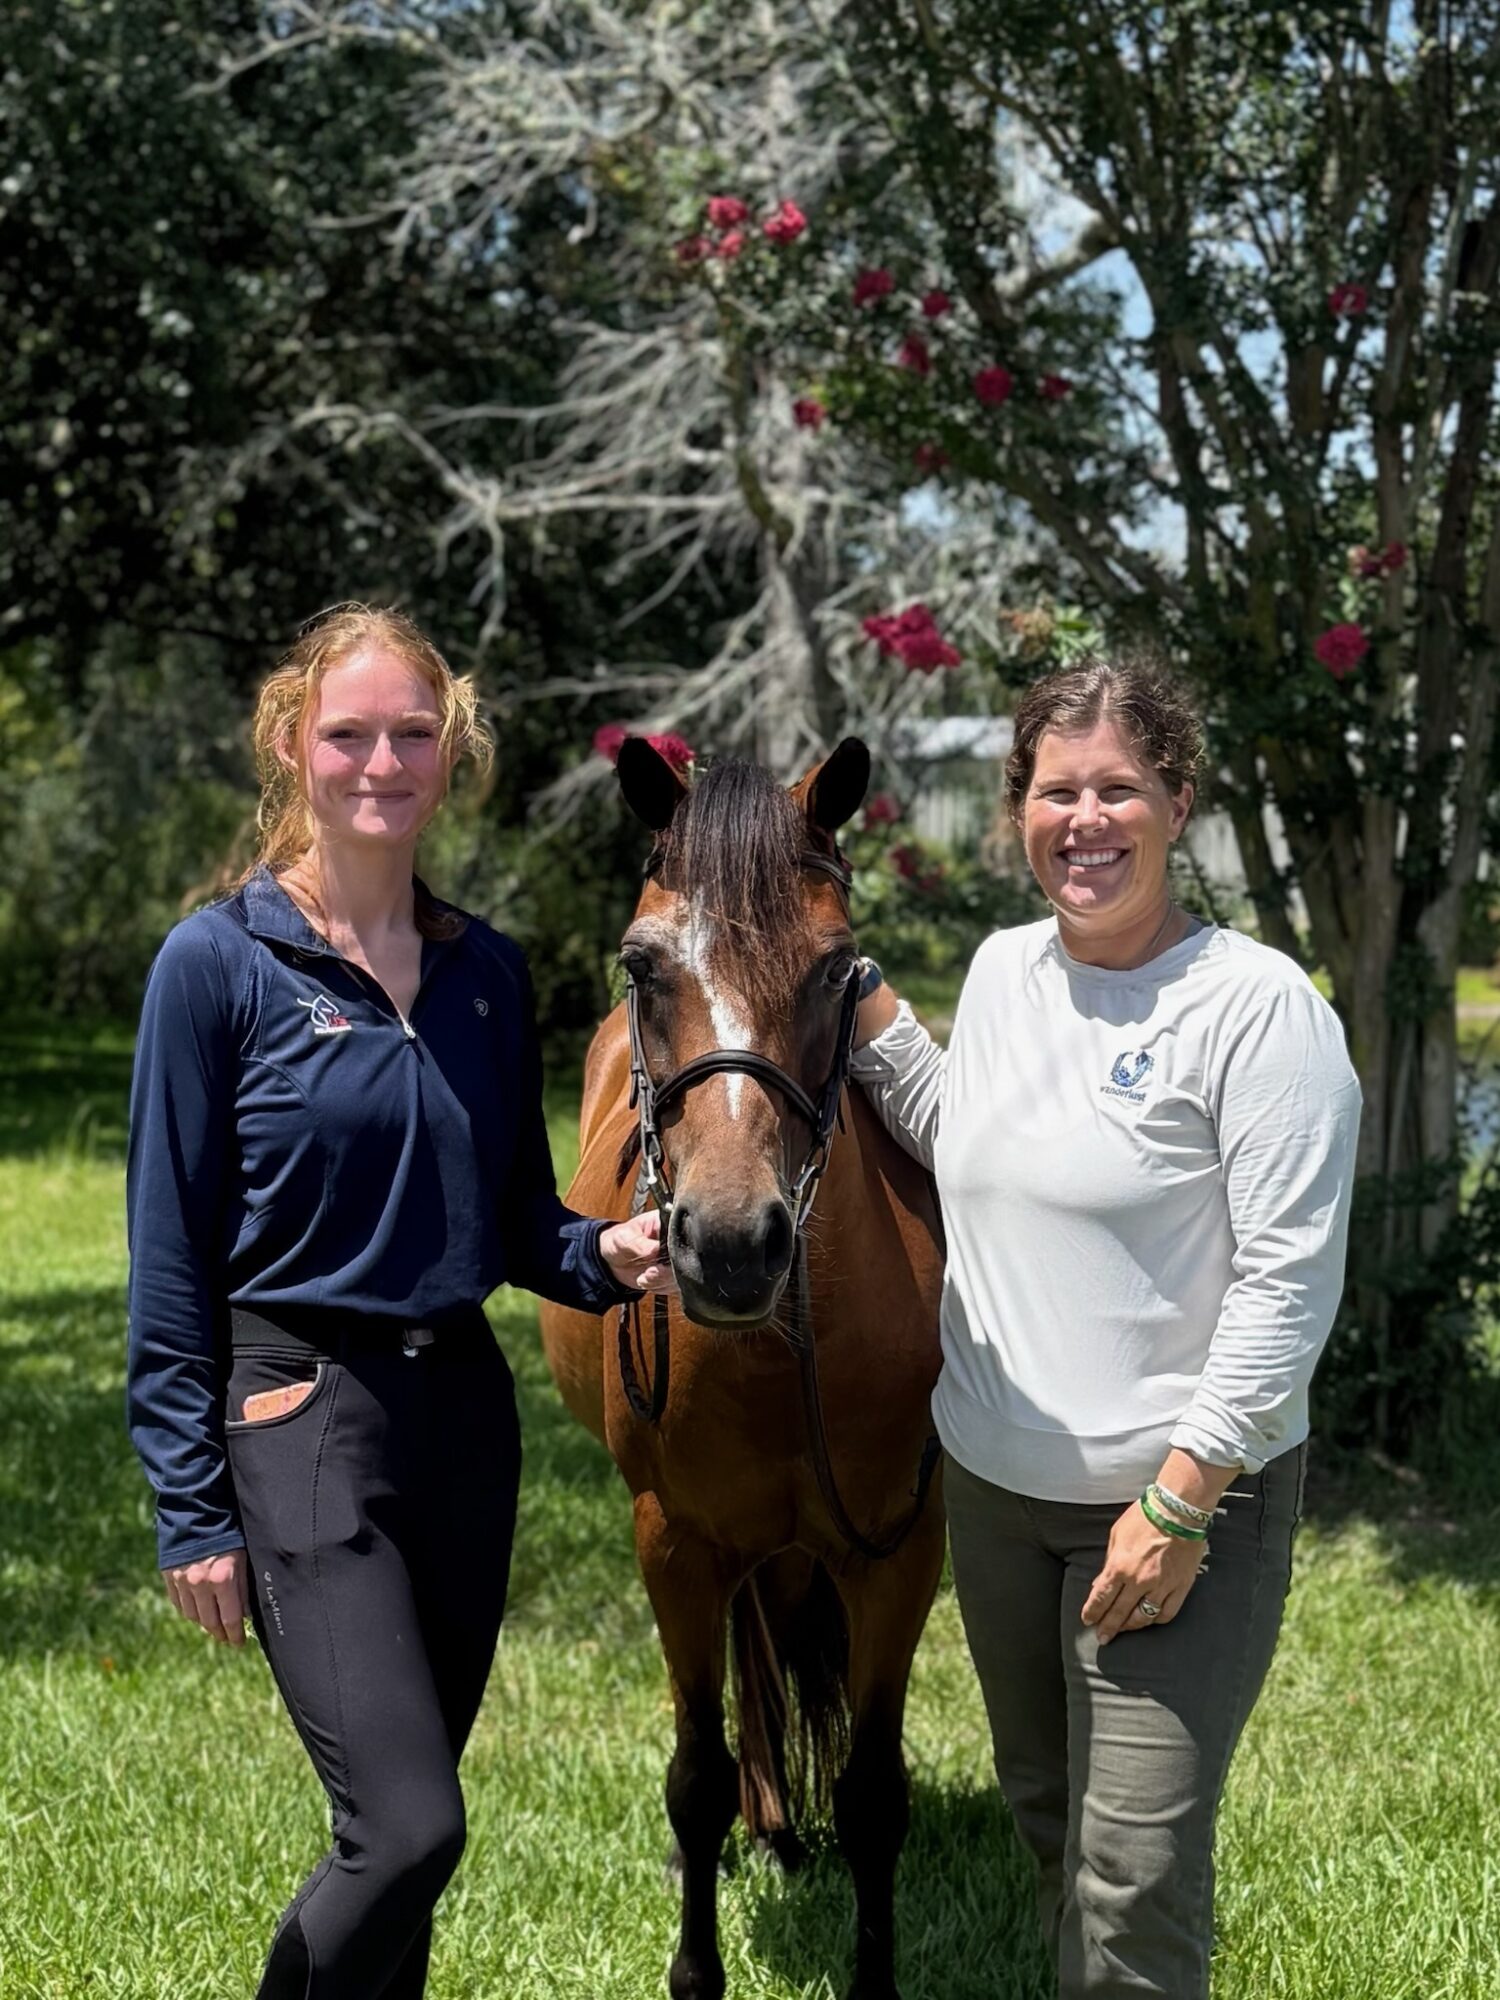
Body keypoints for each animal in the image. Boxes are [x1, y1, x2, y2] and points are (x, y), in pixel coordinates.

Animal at [538, 734, 945, 2000]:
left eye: (837, 968)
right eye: (642, 963)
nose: (727, 1242)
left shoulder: (898, 1555)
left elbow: (873, 1794)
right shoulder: (674, 1544)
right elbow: (695, 1775)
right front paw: (696, 1965)